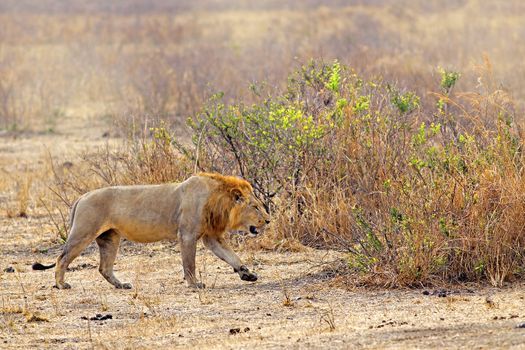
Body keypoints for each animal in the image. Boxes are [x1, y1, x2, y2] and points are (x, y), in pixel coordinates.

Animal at [31, 173, 270, 290]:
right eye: (255, 206)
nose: (268, 220)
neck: (218, 200)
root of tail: (82, 196)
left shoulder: (211, 237)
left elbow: (232, 256)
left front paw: (247, 274)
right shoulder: (187, 234)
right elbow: (189, 263)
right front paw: (194, 284)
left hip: (110, 238)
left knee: (104, 268)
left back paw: (122, 285)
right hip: (83, 232)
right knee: (62, 258)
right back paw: (61, 284)